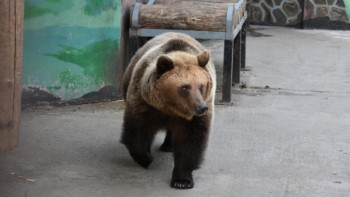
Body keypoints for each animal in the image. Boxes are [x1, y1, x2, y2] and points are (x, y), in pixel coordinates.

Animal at [121, 32, 217, 189]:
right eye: (185, 87)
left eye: (201, 86)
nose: (202, 107)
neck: (171, 108)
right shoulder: (144, 103)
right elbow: (137, 131)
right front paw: (146, 158)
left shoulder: (194, 117)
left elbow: (190, 141)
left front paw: (182, 180)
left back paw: (168, 145)